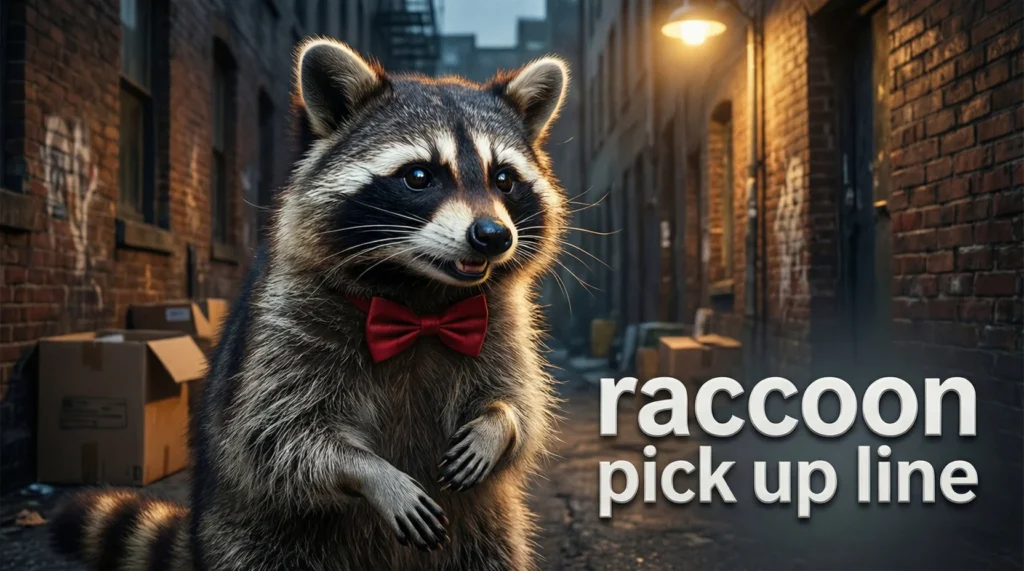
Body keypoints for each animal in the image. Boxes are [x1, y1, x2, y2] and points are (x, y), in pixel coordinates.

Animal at [51, 39, 570, 571]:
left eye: (504, 179)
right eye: (419, 176)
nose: (493, 236)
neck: (421, 302)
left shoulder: (502, 323)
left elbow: (521, 400)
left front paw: (497, 425)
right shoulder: (289, 321)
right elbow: (279, 434)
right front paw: (371, 473)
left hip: (488, 531)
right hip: (261, 537)